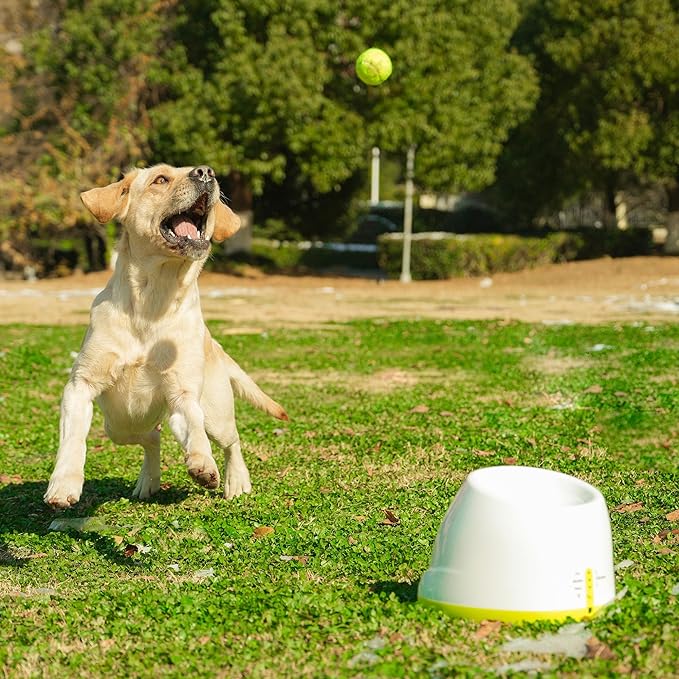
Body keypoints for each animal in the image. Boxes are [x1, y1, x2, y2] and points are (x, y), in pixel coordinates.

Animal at [42, 165, 286, 508]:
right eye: (160, 179)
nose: (206, 172)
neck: (153, 302)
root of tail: (214, 344)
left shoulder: (183, 393)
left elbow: (195, 432)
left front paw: (203, 463)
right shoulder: (80, 386)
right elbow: (72, 440)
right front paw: (64, 484)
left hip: (215, 414)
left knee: (230, 440)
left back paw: (236, 480)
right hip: (119, 425)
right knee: (152, 436)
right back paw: (149, 479)